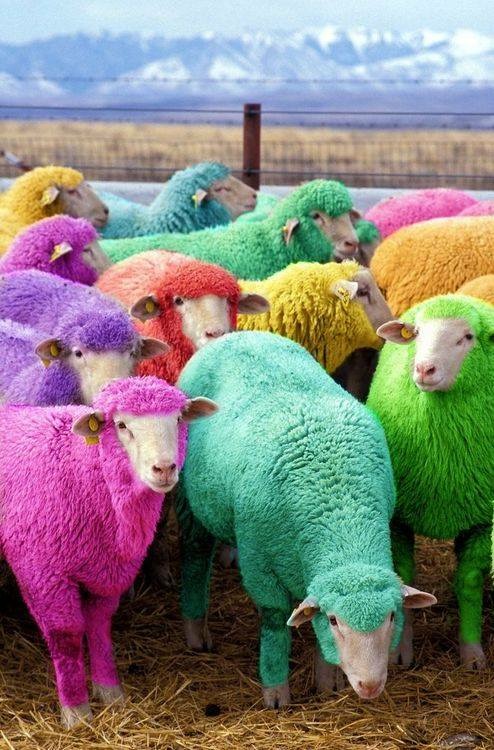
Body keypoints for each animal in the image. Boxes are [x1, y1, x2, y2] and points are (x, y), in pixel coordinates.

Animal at [0, 375, 217, 726]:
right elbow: (66, 635)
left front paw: (111, 694)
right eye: (121, 425)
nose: (164, 469)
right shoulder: (42, 570)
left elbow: (100, 626)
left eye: (178, 420)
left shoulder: (108, 569)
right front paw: (76, 711)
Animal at [175, 331, 435, 707]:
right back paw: (195, 630)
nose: (370, 686)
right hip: (189, 501)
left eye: (390, 615)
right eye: (335, 620)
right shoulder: (259, 562)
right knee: (195, 557)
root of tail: (238, 334)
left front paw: (327, 682)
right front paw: (276, 691)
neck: (340, 511)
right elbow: (273, 623)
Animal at [367, 295, 494, 671]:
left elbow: (469, 581)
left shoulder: (482, 519)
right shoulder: (398, 518)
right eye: (418, 333)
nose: (424, 369)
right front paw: (399, 652)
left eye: (468, 337)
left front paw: (472, 652)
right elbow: (403, 578)